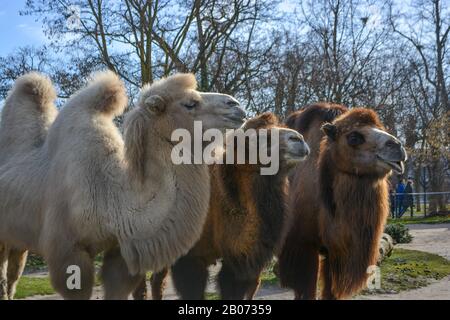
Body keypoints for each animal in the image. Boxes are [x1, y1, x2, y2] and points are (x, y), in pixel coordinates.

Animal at [278, 103, 408, 300]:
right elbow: (307, 289)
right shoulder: (304, 246)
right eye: (353, 137)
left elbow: (330, 292)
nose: (397, 146)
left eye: (382, 128)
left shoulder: (337, 253)